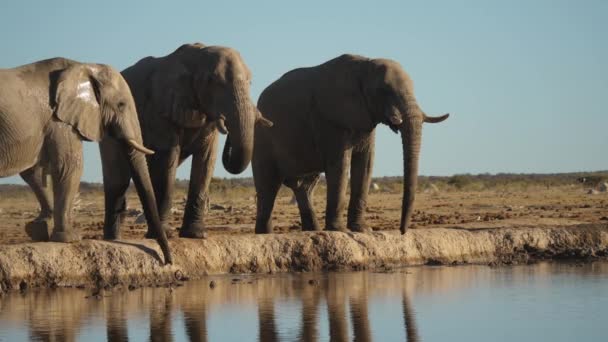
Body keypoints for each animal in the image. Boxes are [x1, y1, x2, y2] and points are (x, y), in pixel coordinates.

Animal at [0, 57, 171, 264]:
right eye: (121, 105)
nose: (168, 261)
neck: (82, 66)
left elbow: (33, 172)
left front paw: (40, 228)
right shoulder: (59, 121)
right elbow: (69, 166)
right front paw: (71, 237)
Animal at [100, 43, 270, 240]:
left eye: (250, 82)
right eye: (213, 81)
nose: (226, 125)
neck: (197, 55)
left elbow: (206, 161)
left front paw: (196, 234)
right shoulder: (161, 109)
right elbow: (167, 159)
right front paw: (166, 235)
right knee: (117, 180)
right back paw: (113, 239)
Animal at [254, 54, 448, 235]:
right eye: (383, 90)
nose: (402, 231)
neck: (364, 66)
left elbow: (366, 164)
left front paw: (362, 230)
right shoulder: (330, 119)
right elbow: (340, 165)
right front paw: (340, 231)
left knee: (304, 187)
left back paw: (311, 231)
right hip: (262, 138)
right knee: (268, 187)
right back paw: (265, 234)